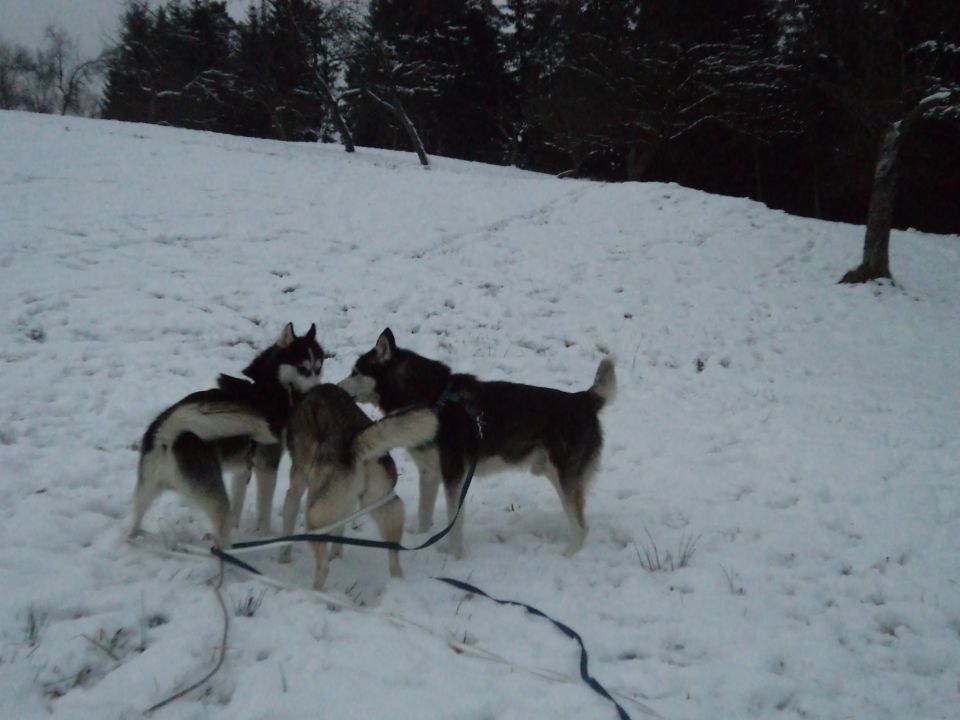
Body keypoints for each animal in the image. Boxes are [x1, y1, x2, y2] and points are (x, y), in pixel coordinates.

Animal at [129, 322, 324, 544]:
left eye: (318, 368)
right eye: (302, 369)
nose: (317, 390)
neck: (268, 389)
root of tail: (168, 434)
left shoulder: (243, 467)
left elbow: (238, 503)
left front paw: (237, 527)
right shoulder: (267, 466)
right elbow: (263, 509)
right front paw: (265, 535)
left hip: (147, 491)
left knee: (130, 526)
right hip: (214, 499)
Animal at [284, 386, 436, 588]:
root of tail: (356, 444)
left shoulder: (295, 487)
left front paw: (282, 561)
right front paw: (336, 556)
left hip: (315, 517)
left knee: (323, 568)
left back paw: (314, 591)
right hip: (387, 507)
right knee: (395, 562)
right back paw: (396, 582)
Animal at [338, 330, 620, 560]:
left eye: (355, 372)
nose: (337, 388)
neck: (433, 399)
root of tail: (584, 399)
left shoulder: (453, 475)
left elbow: (454, 523)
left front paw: (454, 558)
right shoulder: (429, 473)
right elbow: (424, 512)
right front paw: (421, 537)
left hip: (564, 479)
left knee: (581, 527)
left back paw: (568, 556)